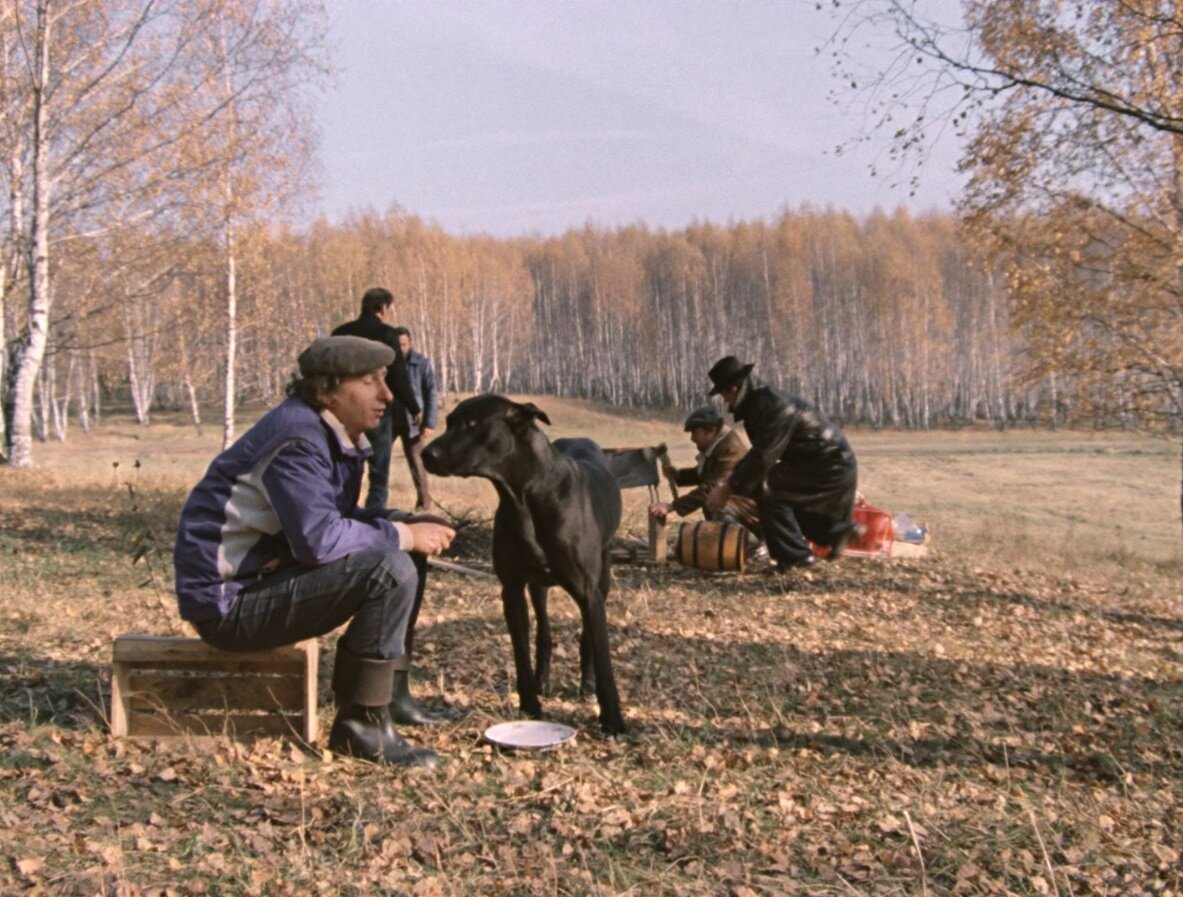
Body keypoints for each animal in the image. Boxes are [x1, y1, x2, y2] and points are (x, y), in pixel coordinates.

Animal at [425, 397, 629, 733]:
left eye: (471, 424)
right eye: (449, 421)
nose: (427, 454)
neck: (525, 495)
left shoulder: (588, 592)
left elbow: (602, 654)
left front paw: (612, 718)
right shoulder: (512, 588)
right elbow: (521, 648)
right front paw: (530, 706)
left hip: (604, 575)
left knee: (587, 635)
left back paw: (586, 685)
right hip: (538, 585)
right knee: (544, 632)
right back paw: (541, 679)